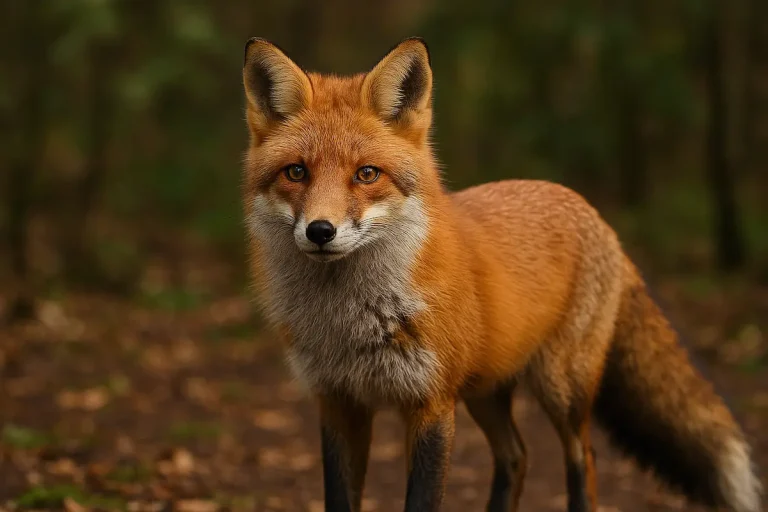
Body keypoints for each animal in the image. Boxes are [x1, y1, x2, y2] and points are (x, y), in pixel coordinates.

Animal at [241, 36, 762, 512]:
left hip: (561, 389)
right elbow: (339, 498)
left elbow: (422, 500)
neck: (350, 322)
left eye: (366, 174)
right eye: (296, 172)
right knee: (517, 456)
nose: (320, 231)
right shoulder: (337, 402)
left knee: (583, 458)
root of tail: (592, 212)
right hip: (486, 392)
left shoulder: (431, 403)